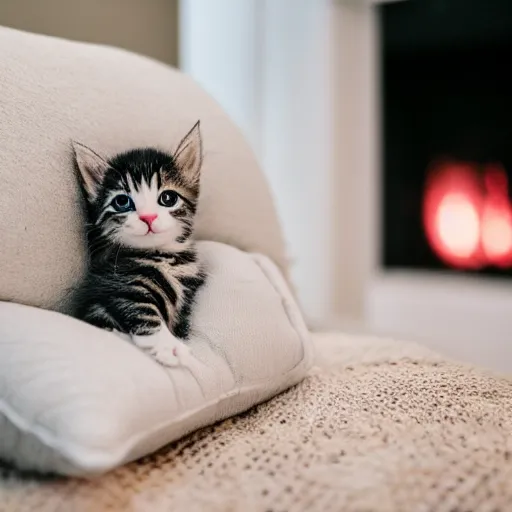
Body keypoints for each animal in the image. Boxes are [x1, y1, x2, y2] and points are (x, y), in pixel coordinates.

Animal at [71, 122, 206, 366]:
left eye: (168, 198)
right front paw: (168, 345)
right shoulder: (117, 286)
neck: (162, 255)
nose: (148, 217)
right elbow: (141, 309)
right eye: (122, 202)